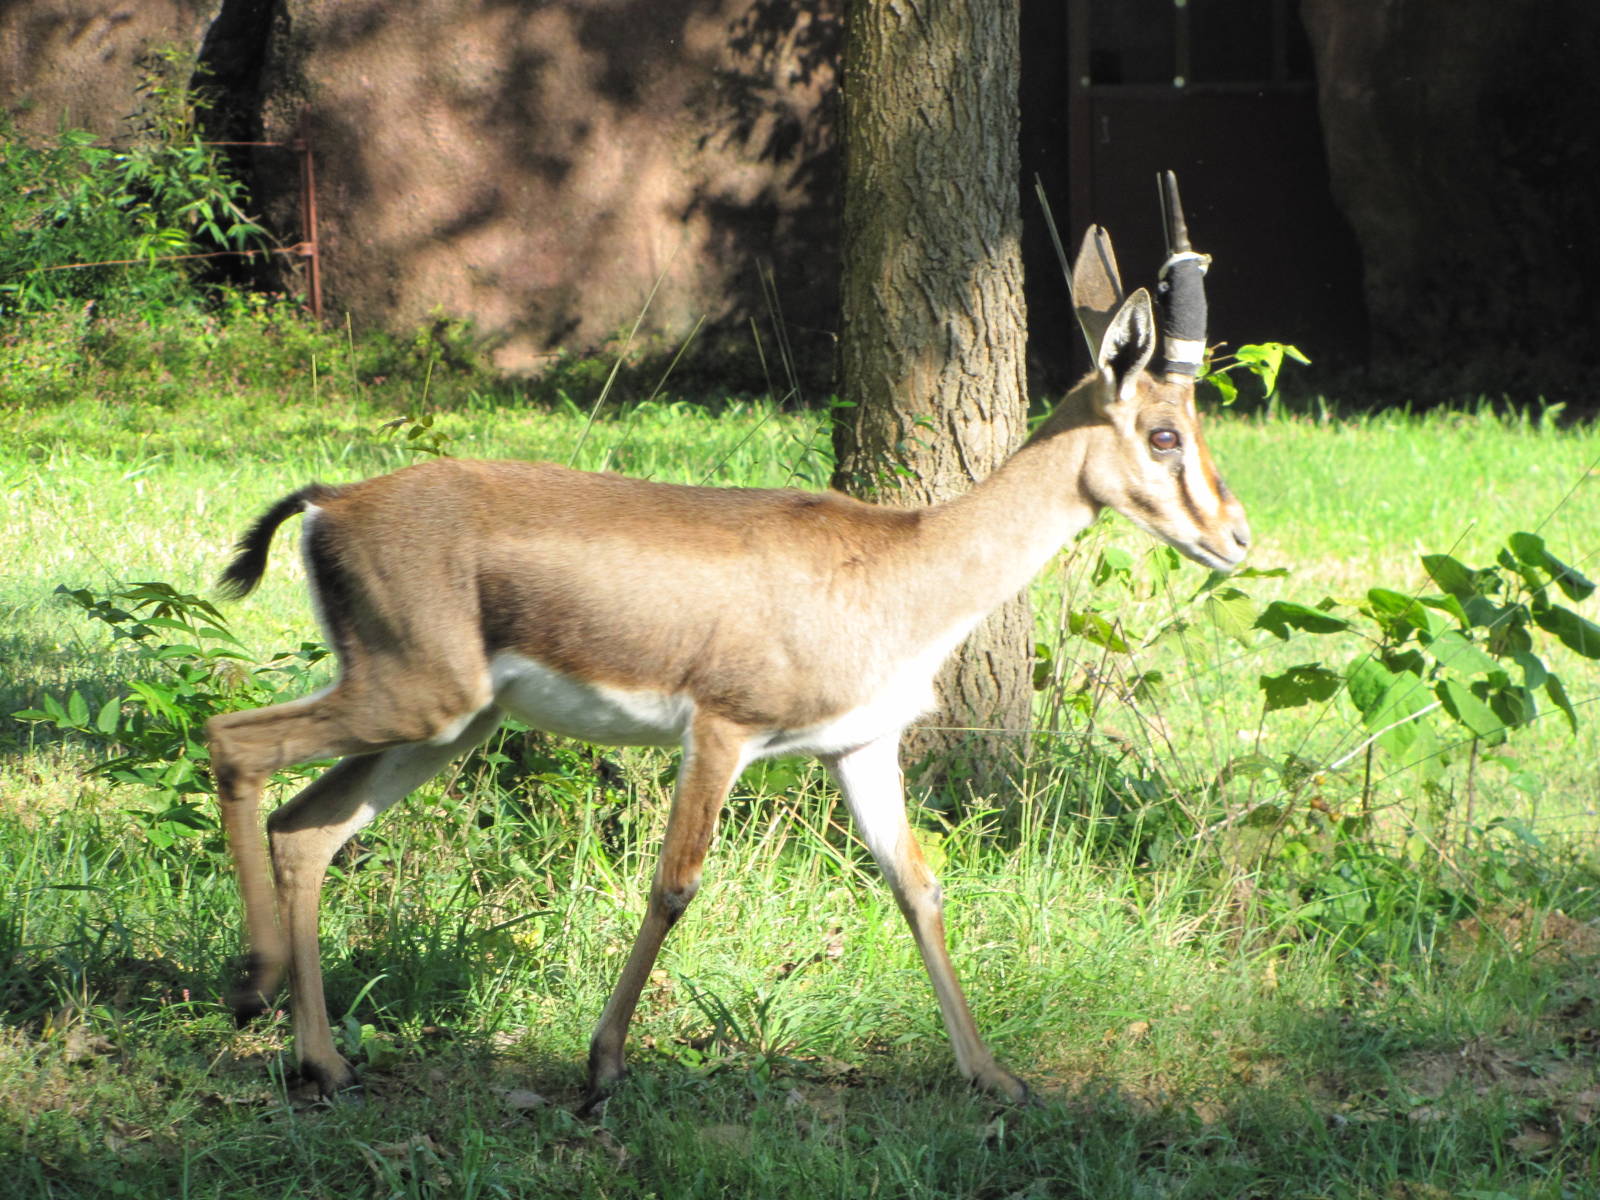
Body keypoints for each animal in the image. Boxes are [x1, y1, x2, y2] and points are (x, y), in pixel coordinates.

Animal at [206, 173, 1248, 1109]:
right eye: (1164, 434)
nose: (1235, 538)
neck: (900, 565)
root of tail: (332, 502)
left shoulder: (861, 747)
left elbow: (918, 886)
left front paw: (995, 1077)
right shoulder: (722, 730)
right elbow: (675, 886)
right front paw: (603, 1067)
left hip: (444, 728)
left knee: (306, 831)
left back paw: (322, 1062)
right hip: (414, 701)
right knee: (234, 741)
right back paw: (253, 988)